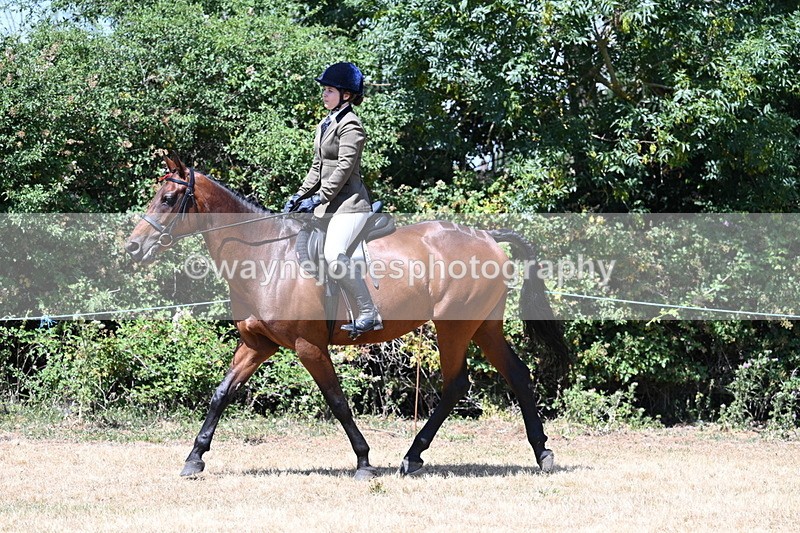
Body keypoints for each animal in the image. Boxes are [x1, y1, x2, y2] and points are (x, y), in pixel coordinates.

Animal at [125, 155, 570, 479]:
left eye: (168, 200)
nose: (132, 248)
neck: (266, 255)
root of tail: (486, 237)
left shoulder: (308, 346)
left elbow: (337, 401)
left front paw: (364, 461)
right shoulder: (258, 343)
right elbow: (222, 393)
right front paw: (194, 458)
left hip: (454, 327)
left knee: (456, 383)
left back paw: (413, 456)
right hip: (484, 326)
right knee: (518, 375)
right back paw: (542, 453)